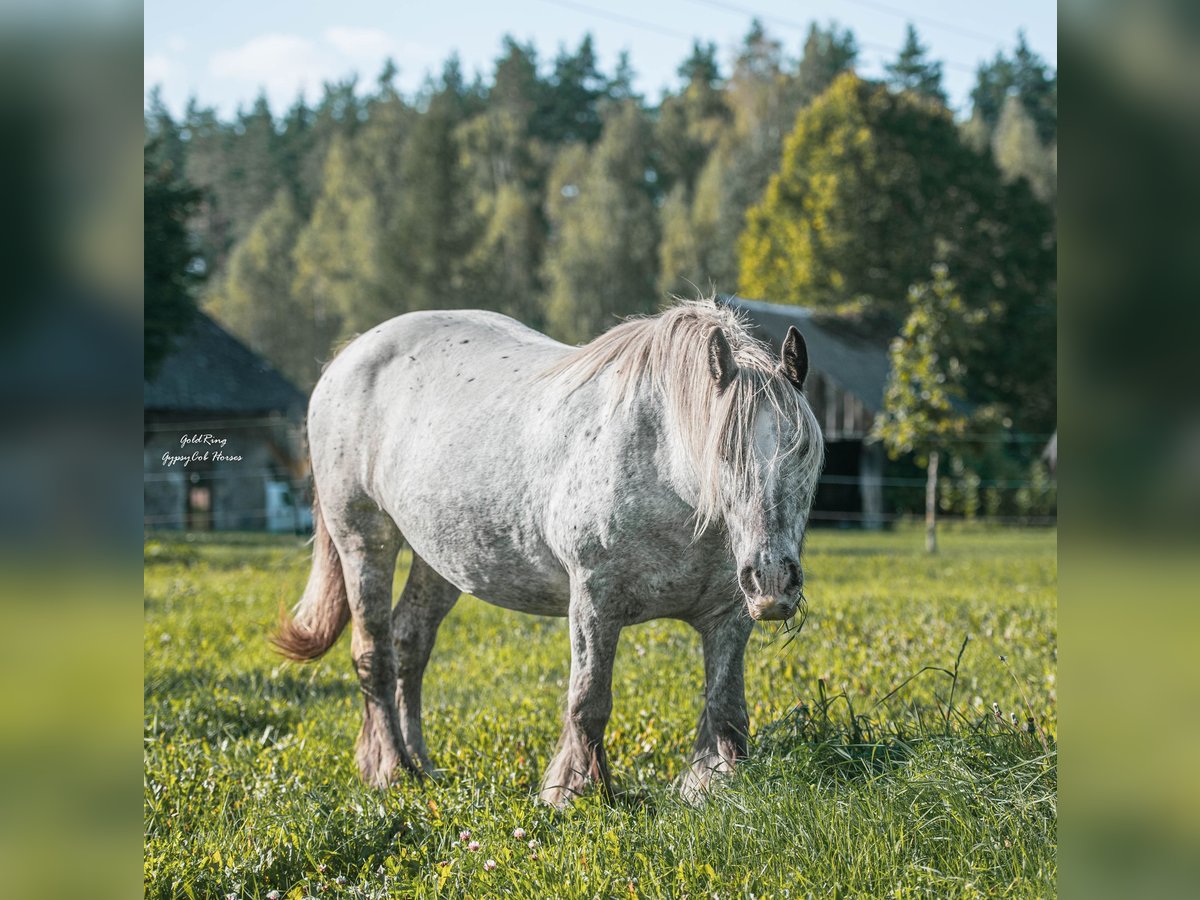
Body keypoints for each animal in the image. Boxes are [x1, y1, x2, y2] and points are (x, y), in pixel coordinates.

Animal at [274, 300, 825, 806]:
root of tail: (349, 357)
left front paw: (710, 786)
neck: (663, 466)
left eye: (802, 449)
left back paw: (421, 765)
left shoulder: (728, 615)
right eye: (725, 451)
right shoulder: (594, 602)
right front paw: (576, 791)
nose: (773, 581)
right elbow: (589, 701)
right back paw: (390, 768)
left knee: (410, 644)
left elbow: (726, 709)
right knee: (374, 654)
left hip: (438, 561)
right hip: (364, 540)